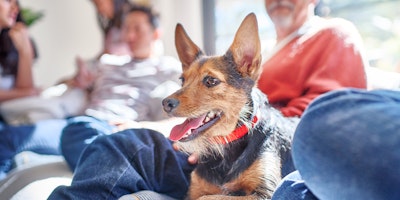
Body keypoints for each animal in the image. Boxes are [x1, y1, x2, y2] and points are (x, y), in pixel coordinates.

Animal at [162, 12, 296, 200]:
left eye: (211, 81)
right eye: (182, 80)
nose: (165, 103)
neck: (226, 147)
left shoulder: (264, 193)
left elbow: (209, 197)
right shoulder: (193, 191)